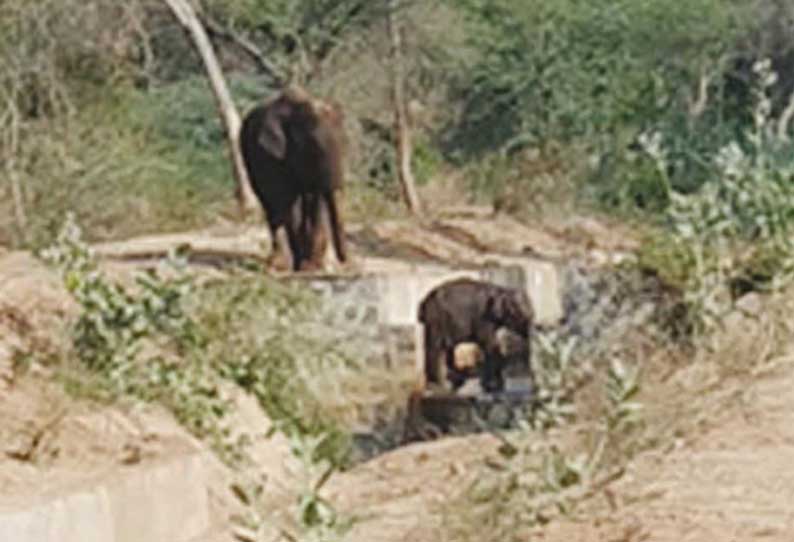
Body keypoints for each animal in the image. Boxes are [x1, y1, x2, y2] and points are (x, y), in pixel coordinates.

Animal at [240, 86, 348, 274]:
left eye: (345, 145)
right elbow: (285, 199)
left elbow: (315, 199)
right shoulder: (269, 154)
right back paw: (278, 264)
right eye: (316, 147)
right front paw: (304, 266)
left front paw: (312, 266)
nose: (348, 264)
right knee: (271, 206)